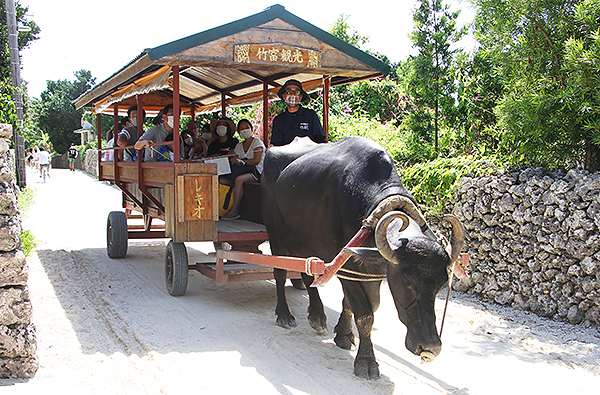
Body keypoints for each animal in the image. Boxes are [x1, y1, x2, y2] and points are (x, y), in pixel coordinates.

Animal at [262, 137, 464, 380]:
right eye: (407, 281)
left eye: (442, 285)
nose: (430, 347)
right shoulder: (346, 267)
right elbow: (365, 314)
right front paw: (366, 362)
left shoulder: (371, 271)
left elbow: (358, 305)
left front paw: (344, 334)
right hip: (277, 237)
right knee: (280, 273)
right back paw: (284, 315)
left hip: (306, 243)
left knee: (309, 275)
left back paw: (317, 316)